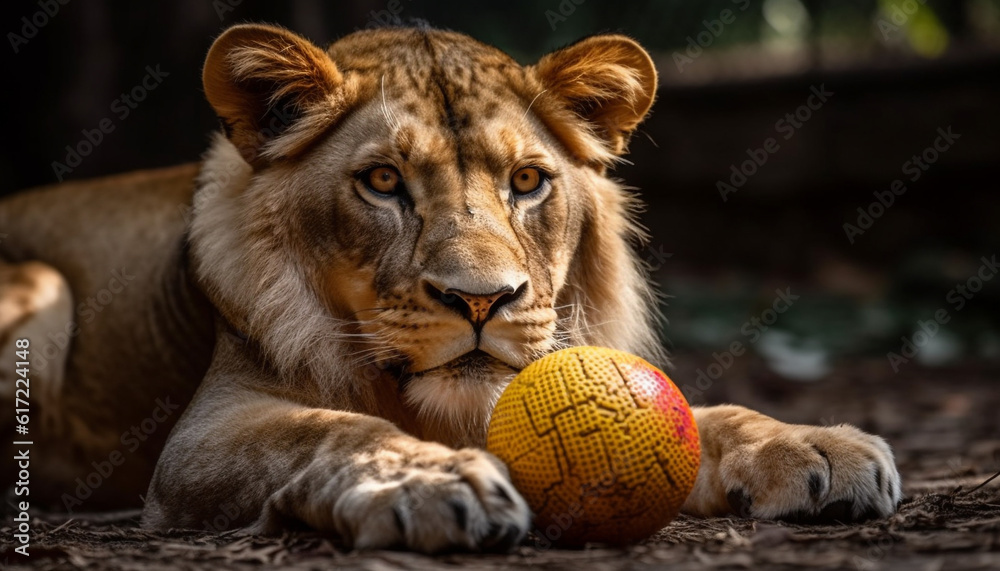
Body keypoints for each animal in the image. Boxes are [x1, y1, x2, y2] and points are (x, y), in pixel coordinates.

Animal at [0, 23, 904, 556]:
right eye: (383, 181)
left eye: (528, 180)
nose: (482, 300)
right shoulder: (203, 438)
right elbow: (329, 426)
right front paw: (425, 480)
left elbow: (710, 415)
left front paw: (815, 446)